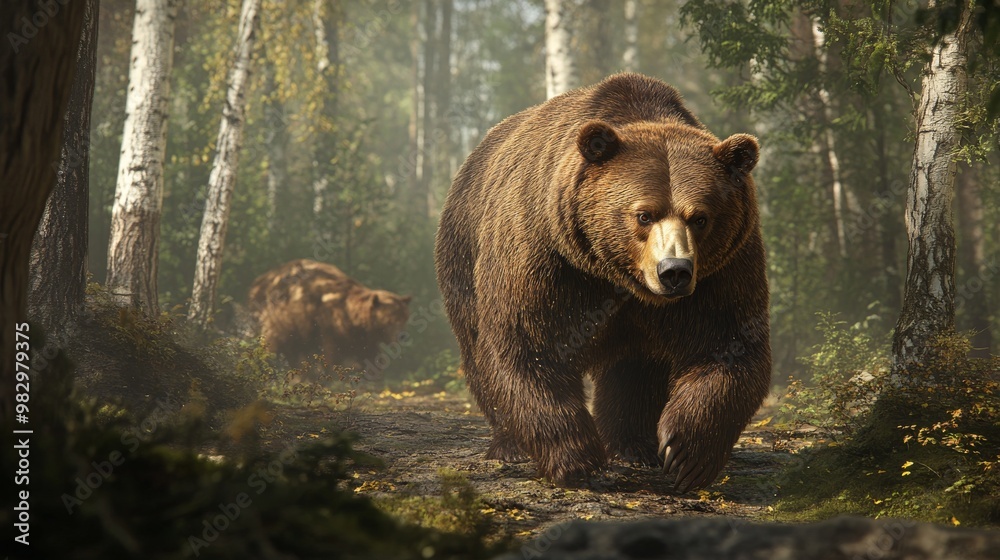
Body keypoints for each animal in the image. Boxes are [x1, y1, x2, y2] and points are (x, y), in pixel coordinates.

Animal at [248, 259, 411, 371]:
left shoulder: (360, 335)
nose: (402, 336)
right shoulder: (327, 324)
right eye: (390, 321)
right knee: (273, 343)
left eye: (404, 318)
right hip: (277, 318)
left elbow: (368, 353)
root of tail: (257, 282)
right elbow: (331, 352)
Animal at [434, 73, 771, 492]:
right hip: (463, 254)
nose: (674, 270)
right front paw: (577, 459)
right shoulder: (549, 254)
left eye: (700, 217)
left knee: (634, 369)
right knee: (476, 345)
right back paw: (510, 445)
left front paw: (685, 454)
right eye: (644, 214)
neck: (618, 277)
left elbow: (728, 343)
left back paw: (633, 447)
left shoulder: (723, 270)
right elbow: (527, 343)